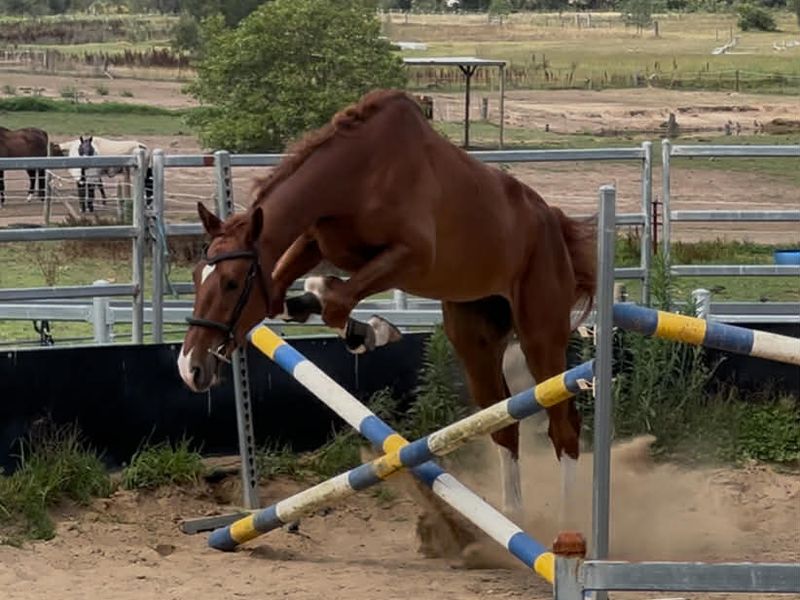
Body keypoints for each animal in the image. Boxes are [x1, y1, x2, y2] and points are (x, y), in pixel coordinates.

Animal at [177, 89, 596, 528]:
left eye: (231, 282)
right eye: (196, 277)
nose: (190, 368)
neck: (356, 178)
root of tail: (554, 223)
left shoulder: (411, 258)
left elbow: (335, 300)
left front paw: (370, 331)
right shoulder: (313, 244)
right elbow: (288, 295)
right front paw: (344, 323)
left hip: (539, 336)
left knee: (563, 427)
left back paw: (567, 527)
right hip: (474, 338)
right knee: (504, 426)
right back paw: (510, 516)